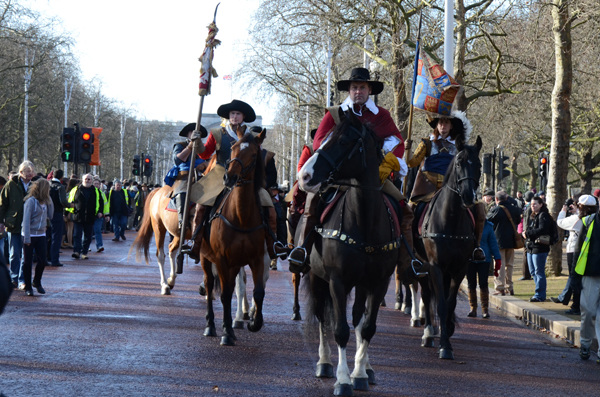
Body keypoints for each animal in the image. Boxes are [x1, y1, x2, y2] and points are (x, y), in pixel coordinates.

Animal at [199, 129, 270, 344]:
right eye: (233, 149)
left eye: (254, 154)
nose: (229, 177)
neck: (241, 217)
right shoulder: (222, 259)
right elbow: (226, 294)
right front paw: (227, 333)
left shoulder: (256, 258)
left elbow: (258, 291)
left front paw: (255, 322)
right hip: (206, 258)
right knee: (210, 284)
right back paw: (211, 325)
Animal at [296, 109, 400, 396]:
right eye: (323, 138)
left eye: (343, 142)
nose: (304, 176)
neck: (364, 222)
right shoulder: (337, 281)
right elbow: (340, 329)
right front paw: (343, 380)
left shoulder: (378, 282)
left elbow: (367, 327)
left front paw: (359, 373)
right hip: (316, 278)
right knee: (323, 317)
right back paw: (324, 363)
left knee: (358, 321)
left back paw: (366, 368)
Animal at [412, 135, 482, 358]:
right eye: (459, 163)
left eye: (479, 164)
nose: (468, 196)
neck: (450, 219)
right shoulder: (434, 266)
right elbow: (441, 304)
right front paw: (443, 345)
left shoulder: (459, 268)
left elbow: (450, 304)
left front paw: (447, 335)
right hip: (423, 266)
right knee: (427, 295)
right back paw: (427, 334)